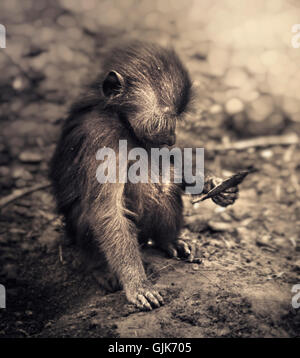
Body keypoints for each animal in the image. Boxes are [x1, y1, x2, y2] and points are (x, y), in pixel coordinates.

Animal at [49, 41, 239, 310]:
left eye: (178, 117)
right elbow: (107, 211)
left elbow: (166, 163)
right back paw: (99, 269)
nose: (173, 137)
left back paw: (166, 241)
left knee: (162, 183)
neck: (120, 119)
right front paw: (136, 283)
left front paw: (214, 184)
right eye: (165, 117)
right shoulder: (104, 137)